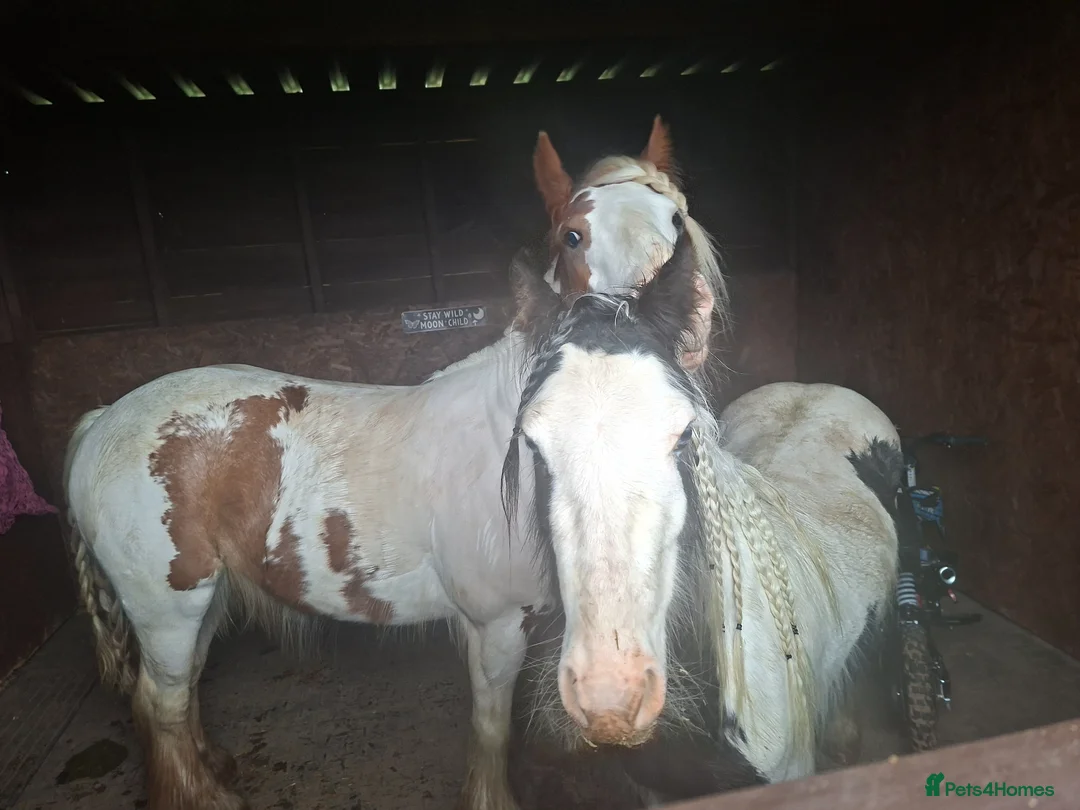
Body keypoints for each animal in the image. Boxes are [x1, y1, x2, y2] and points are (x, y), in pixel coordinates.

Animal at [61, 117, 727, 810]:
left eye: (676, 218)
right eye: (574, 234)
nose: (676, 321)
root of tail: (102, 420)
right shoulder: (495, 626)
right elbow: (491, 728)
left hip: (204, 598)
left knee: (184, 690)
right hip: (167, 608)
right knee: (160, 704)